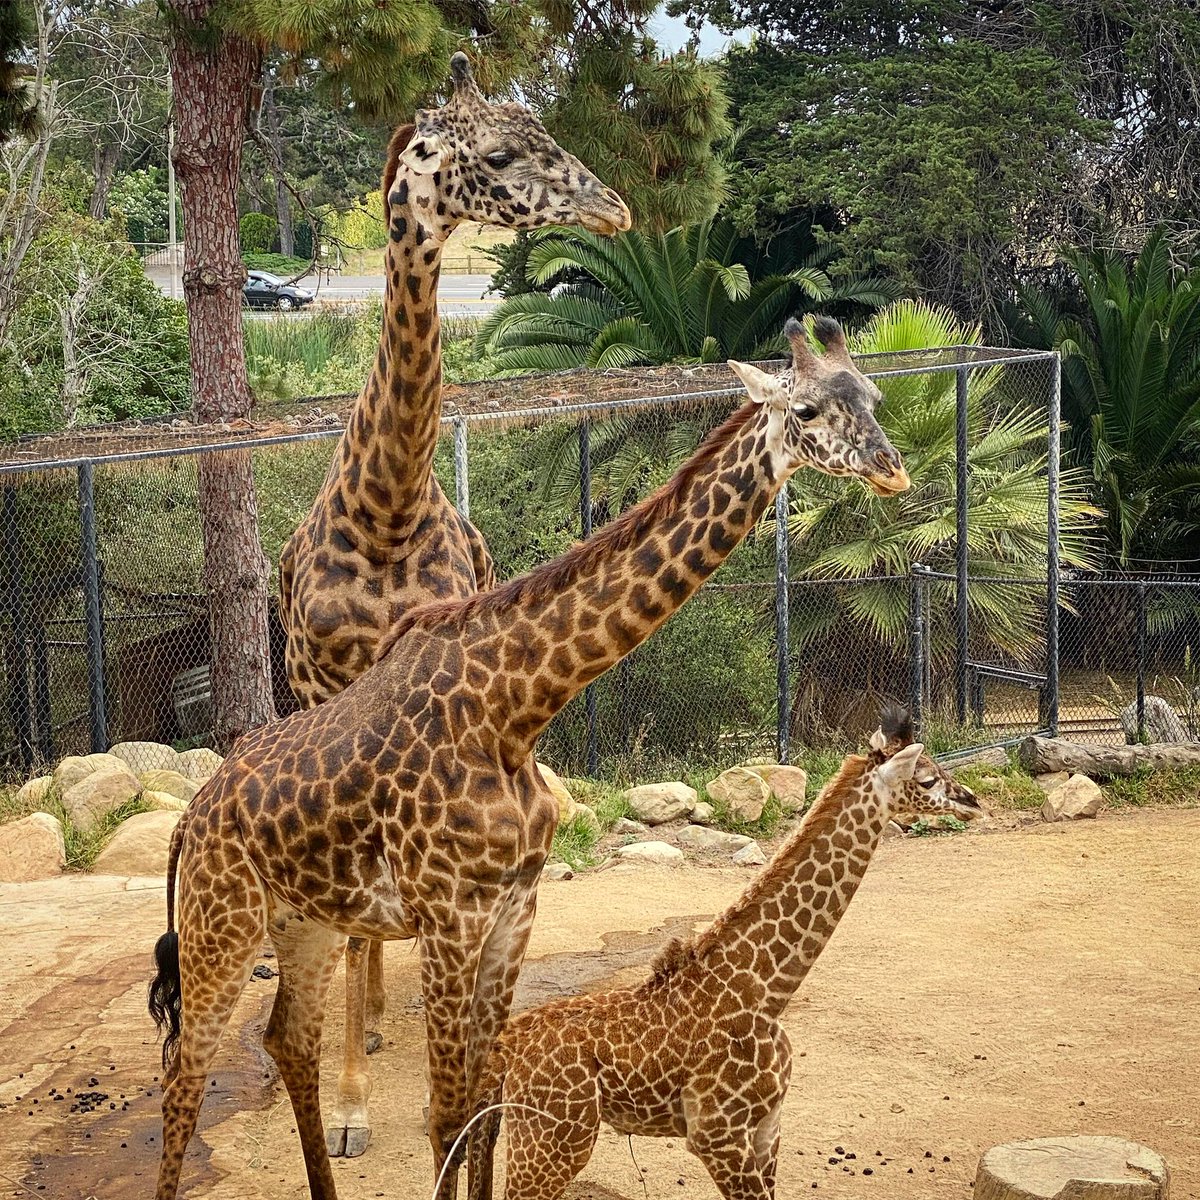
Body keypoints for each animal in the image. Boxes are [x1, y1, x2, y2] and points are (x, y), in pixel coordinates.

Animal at [147, 315, 912, 1200]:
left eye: (876, 397)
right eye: (811, 410)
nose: (892, 469)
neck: (515, 708)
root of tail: (189, 821)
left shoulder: (515, 907)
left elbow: (486, 1094)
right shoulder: (448, 917)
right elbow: (448, 1113)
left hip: (302, 921)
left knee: (286, 1041)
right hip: (221, 924)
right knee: (185, 1069)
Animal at [275, 52, 632, 1158]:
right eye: (507, 153)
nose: (615, 208)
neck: (386, 506)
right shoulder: (327, 695)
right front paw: (349, 1109)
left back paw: (390, 1011)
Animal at [464, 708, 983, 1200]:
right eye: (927, 778)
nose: (972, 801)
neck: (768, 992)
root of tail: (504, 1053)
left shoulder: (768, 1126)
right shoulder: (717, 1136)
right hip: (556, 1138)